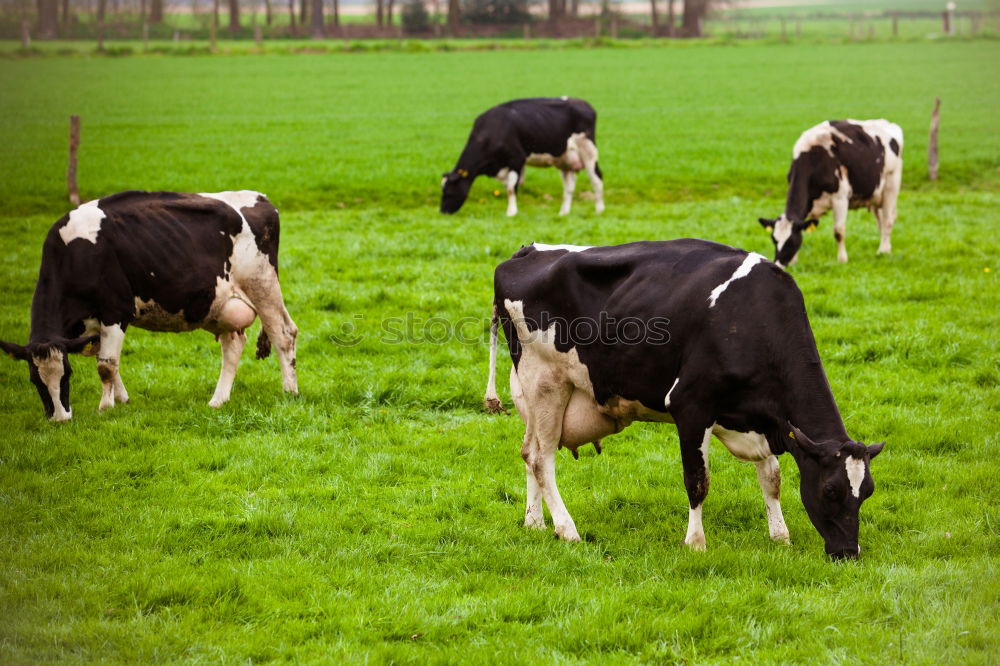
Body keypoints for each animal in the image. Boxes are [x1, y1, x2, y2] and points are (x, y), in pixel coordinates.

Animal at [0, 189, 296, 420]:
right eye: (34, 379)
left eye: (67, 374)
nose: (60, 419)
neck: (74, 254)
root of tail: (261, 199)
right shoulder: (92, 325)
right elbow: (108, 361)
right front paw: (121, 399)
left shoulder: (115, 311)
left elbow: (106, 365)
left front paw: (105, 408)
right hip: (223, 307)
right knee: (233, 347)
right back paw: (217, 400)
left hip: (262, 286)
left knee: (284, 334)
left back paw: (289, 391)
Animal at [442, 97, 604, 217]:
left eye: (448, 192)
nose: (443, 212)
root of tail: (584, 103)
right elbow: (508, 187)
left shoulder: (517, 159)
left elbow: (511, 188)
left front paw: (511, 212)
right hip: (565, 159)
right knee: (569, 187)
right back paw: (563, 213)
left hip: (588, 150)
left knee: (596, 179)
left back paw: (599, 210)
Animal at [484, 239, 884, 556]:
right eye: (831, 490)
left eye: (867, 492)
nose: (848, 552)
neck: (752, 316)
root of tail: (526, 251)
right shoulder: (690, 406)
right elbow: (698, 480)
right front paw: (695, 542)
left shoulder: (761, 417)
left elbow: (772, 477)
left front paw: (780, 535)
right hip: (545, 382)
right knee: (541, 458)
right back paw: (567, 530)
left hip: (532, 392)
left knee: (528, 451)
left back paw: (535, 523)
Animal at [756, 119, 908, 268]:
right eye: (774, 240)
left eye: (791, 241)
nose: (778, 264)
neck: (814, 158)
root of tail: (889, 123)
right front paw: (794, 261)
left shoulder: (840, 198)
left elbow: (838, 231)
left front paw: (842, 259)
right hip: (875, 195)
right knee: (881, 221)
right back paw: (885, 249)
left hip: (891, 185)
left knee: (888, 221)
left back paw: (883, 251)